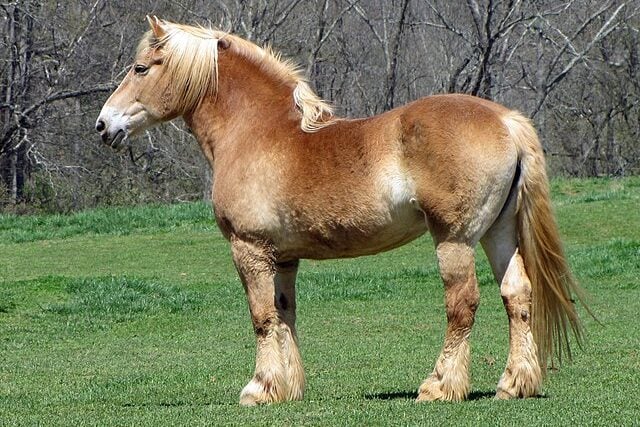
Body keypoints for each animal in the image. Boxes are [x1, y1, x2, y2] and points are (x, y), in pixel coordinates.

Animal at [96, 16, 586, 406]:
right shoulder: (283, 258)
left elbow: (261, 317)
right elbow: (284, 314)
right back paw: (514, 384)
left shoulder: (248, 249)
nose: (103, 125)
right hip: (498, 233)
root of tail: (506, 120)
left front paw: (259, 389)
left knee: (462, 305)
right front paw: (287, 389)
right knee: (516, 296)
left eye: (140, 68)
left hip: (455, 238)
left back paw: (439, 386)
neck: (257, 131)